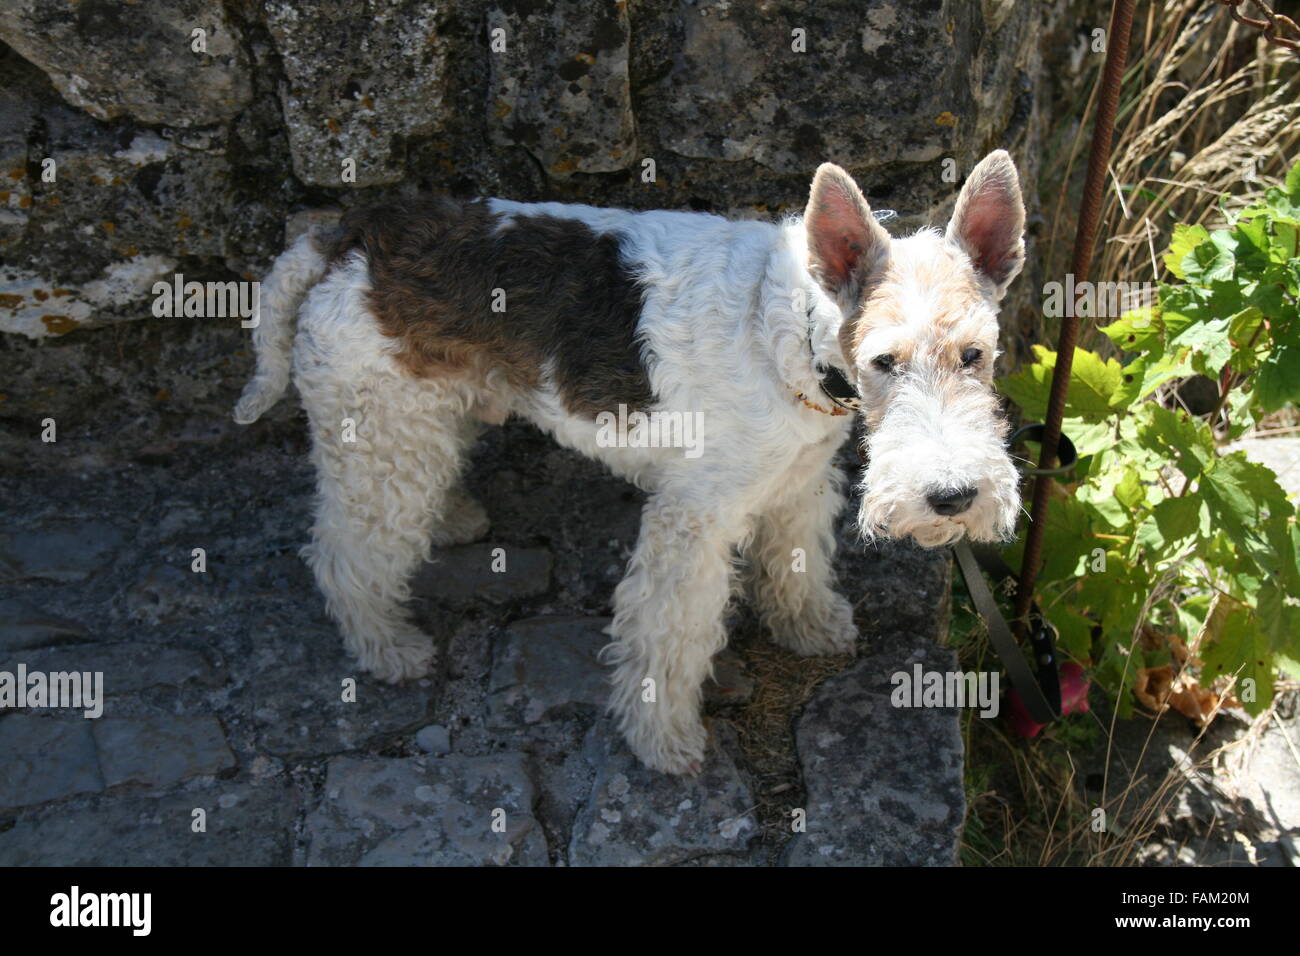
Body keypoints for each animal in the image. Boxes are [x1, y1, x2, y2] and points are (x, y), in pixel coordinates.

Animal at [231, 147, 1024, 780]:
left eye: (975, 354)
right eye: (885, 360)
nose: (952, 496)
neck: (792, 330)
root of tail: (348, 236)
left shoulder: (797, 477)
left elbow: (795, 562)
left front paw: (810, 627)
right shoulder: (694, 518)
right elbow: (669, 634)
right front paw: (663, 740)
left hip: (413, 421)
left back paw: (452, 518)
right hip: (380, 434)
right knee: (345, 553)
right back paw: (388, 647)